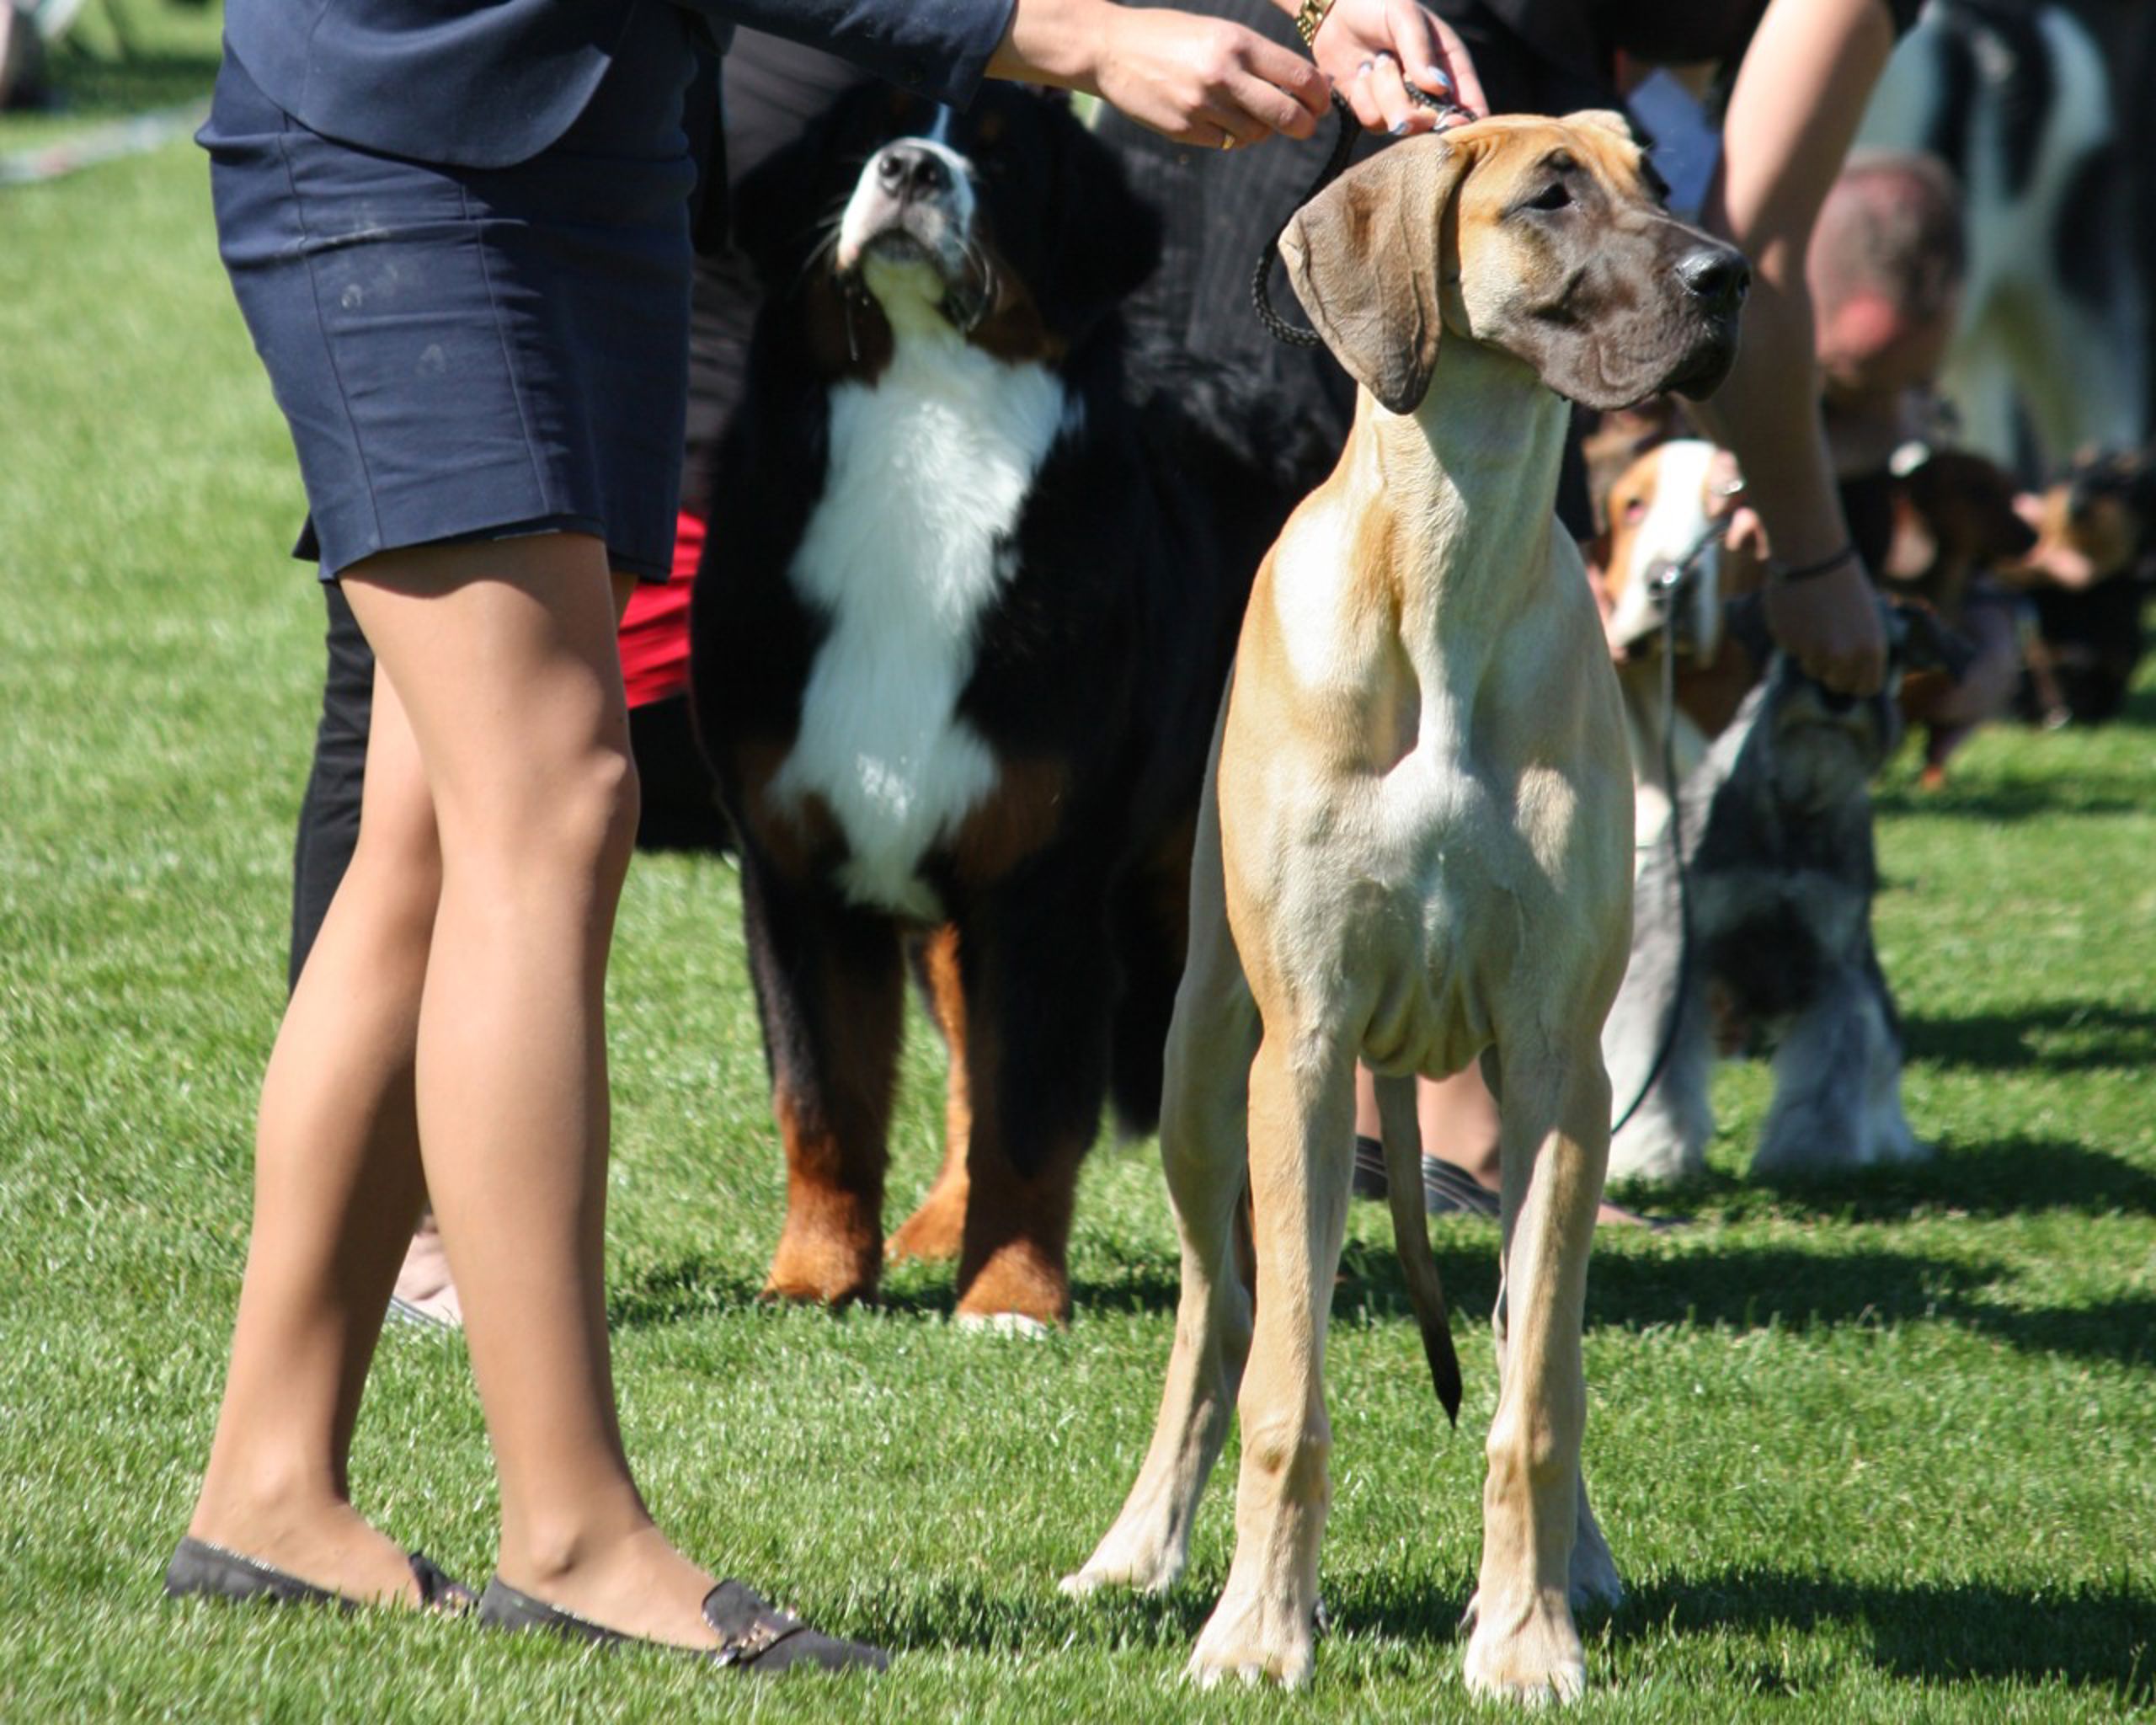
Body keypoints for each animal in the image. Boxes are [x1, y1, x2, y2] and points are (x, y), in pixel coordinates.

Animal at [694, 81, 1327, 1327]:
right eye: (862, 132)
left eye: (997, 155)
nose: (909, 168)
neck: (921, 432)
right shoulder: (799, 861)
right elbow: (824, 1101)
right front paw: (814, 1279)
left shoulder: (1045, 879)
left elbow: (1032, 1110)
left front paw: (1010, 1297)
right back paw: (941, 1226)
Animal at [1604, 599, 1974, 1181]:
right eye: (1801, 647)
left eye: (1889, 654)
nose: (1839, 697)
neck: (1795, 804)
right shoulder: (1673, 959)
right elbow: (1656, 1071)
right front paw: (1652, 1152)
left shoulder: (1836, 971)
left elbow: (1830, 1075)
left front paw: (1815, 1154)